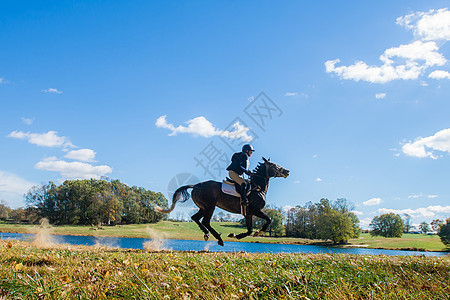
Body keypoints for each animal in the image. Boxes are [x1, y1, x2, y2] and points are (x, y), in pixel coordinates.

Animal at [154, 158, 288, 245]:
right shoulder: (256, 210)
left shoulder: (248, 213)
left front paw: (236, 235)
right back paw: (218, 238)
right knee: (205, 221)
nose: (287, 171)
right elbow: (268, 219)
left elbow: (249, 229)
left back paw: (207, 233)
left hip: (203, 207)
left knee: (195, 218)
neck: (258, 187)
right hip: (210, 206)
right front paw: (259, 232)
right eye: (274, 165)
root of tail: (196, 186)